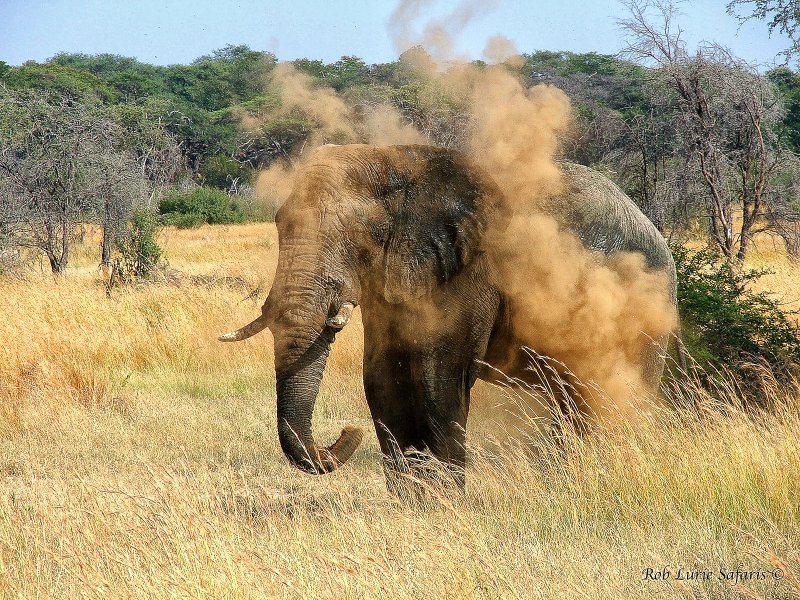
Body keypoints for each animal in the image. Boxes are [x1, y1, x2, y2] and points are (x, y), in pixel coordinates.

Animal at [222, 143, 680, 494]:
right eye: (279, 224)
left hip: (645, 308)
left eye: (363, 237)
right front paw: (413, 504)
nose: (347, 434)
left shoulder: (466, 271)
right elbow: (384, 380)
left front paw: (443, 503)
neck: (397, 162)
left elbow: (436, 378)